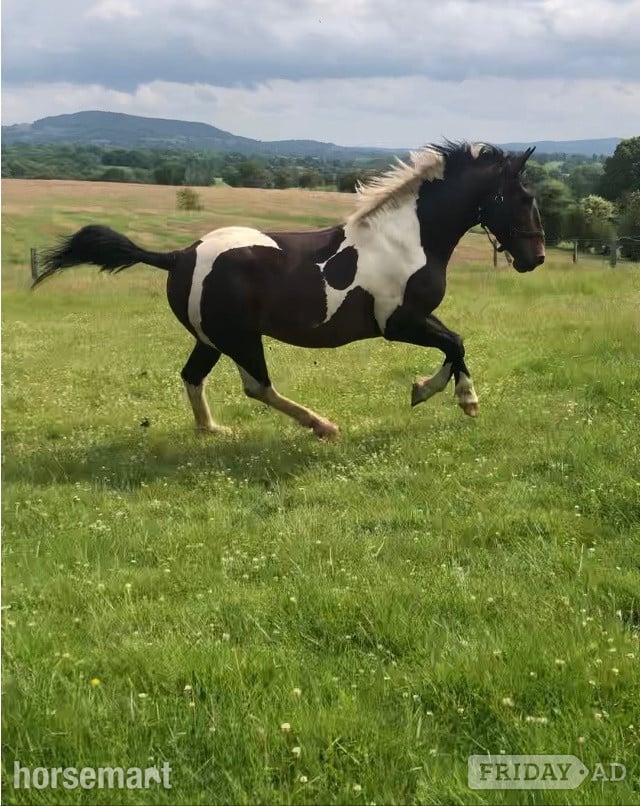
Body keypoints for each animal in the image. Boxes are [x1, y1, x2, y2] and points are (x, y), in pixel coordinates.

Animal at [34, 141, 545, 438]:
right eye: (524, 197)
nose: (535, 257)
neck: (407, 237)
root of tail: (179, 255)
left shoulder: (413, 319)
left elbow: (456, 345)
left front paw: (429, 391)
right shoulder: (399, 322)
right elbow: (456, 343)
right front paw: (456, 398)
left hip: (211, 339)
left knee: (193, 377)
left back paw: (214, 431)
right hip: (239, 338)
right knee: (257, 386)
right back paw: (323, 426)